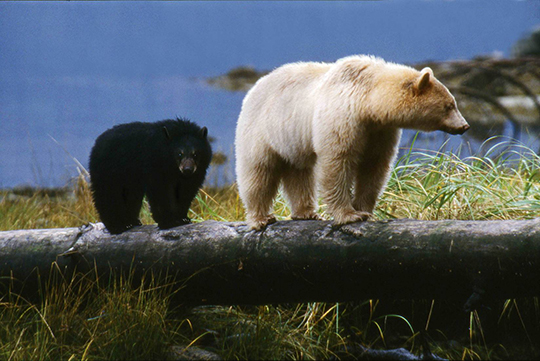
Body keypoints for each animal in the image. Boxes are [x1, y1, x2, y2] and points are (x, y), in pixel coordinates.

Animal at [236, 54, 468, 228]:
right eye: (449, 105)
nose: (464, 126)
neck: (367, 102)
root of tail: (254, 87)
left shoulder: (379, 130)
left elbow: (374, 166)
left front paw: (364, 210)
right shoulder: (343, 118)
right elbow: (338, 161)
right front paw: (348, 215)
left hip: (292, 141)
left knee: (299, 173)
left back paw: (306, 212)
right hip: (261, 131)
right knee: (258, 173)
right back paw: (260, 218)